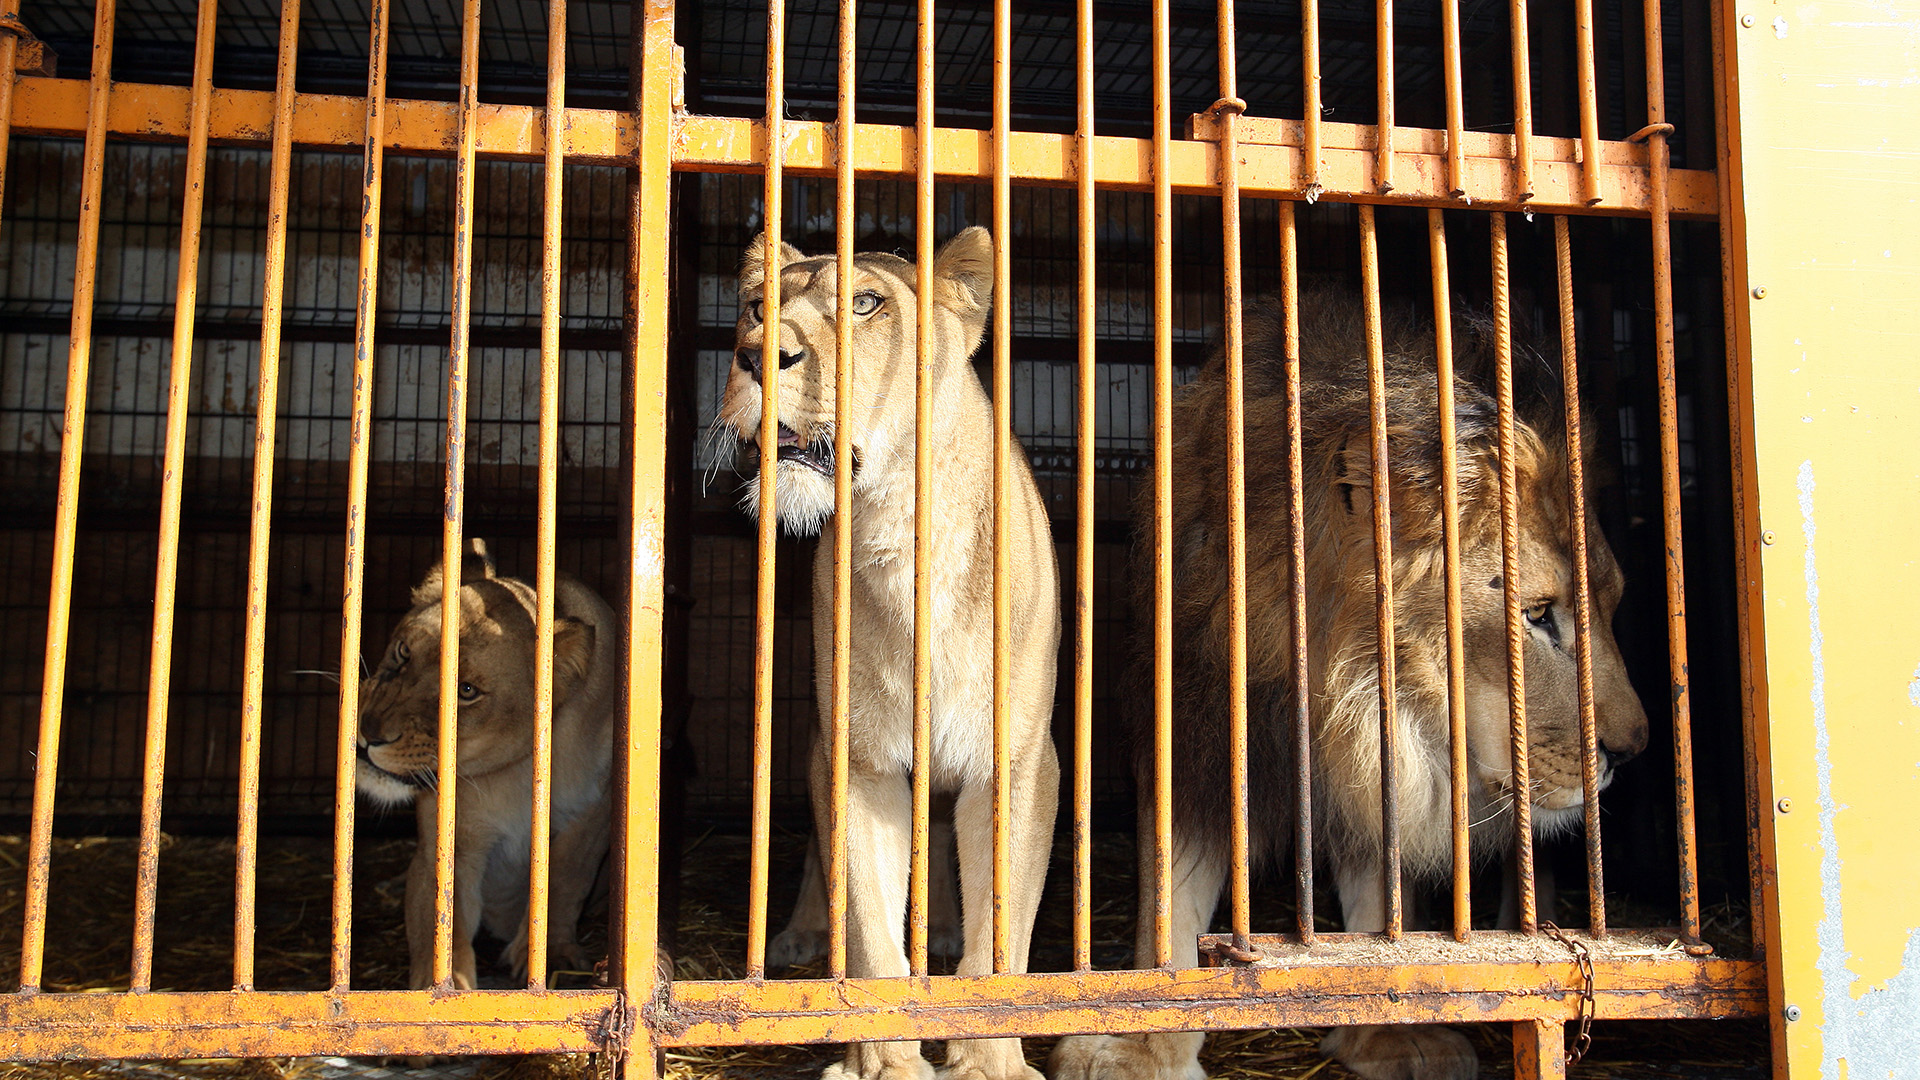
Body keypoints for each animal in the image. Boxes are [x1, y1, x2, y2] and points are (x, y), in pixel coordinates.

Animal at [357, 541, 618, 991]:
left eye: (467, 691)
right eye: (404, 651)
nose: (368, 734)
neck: (516, 772)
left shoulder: (591, 816)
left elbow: (565, 879)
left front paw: (551, 955)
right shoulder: (449, 842)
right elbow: (441, 918)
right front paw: (442, 986)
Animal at [721, 226, 1067, 1076]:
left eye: (867, 304)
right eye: (757, 307)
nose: (756, 353)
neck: (902, 534)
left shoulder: (1018, 763)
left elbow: (999, 932)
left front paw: (990, 1059)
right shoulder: (857, 760)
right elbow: (872, 927)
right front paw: (882, 1060)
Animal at [1052, 294, 1651, 1076]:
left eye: (1613, 606)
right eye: (1537, 614)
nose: (1634, 748)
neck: (1340, 687)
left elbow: (1379, 894)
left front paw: (1388, 1027)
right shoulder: (1193, 728)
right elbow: (1170, 890)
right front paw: (1144, 1035)